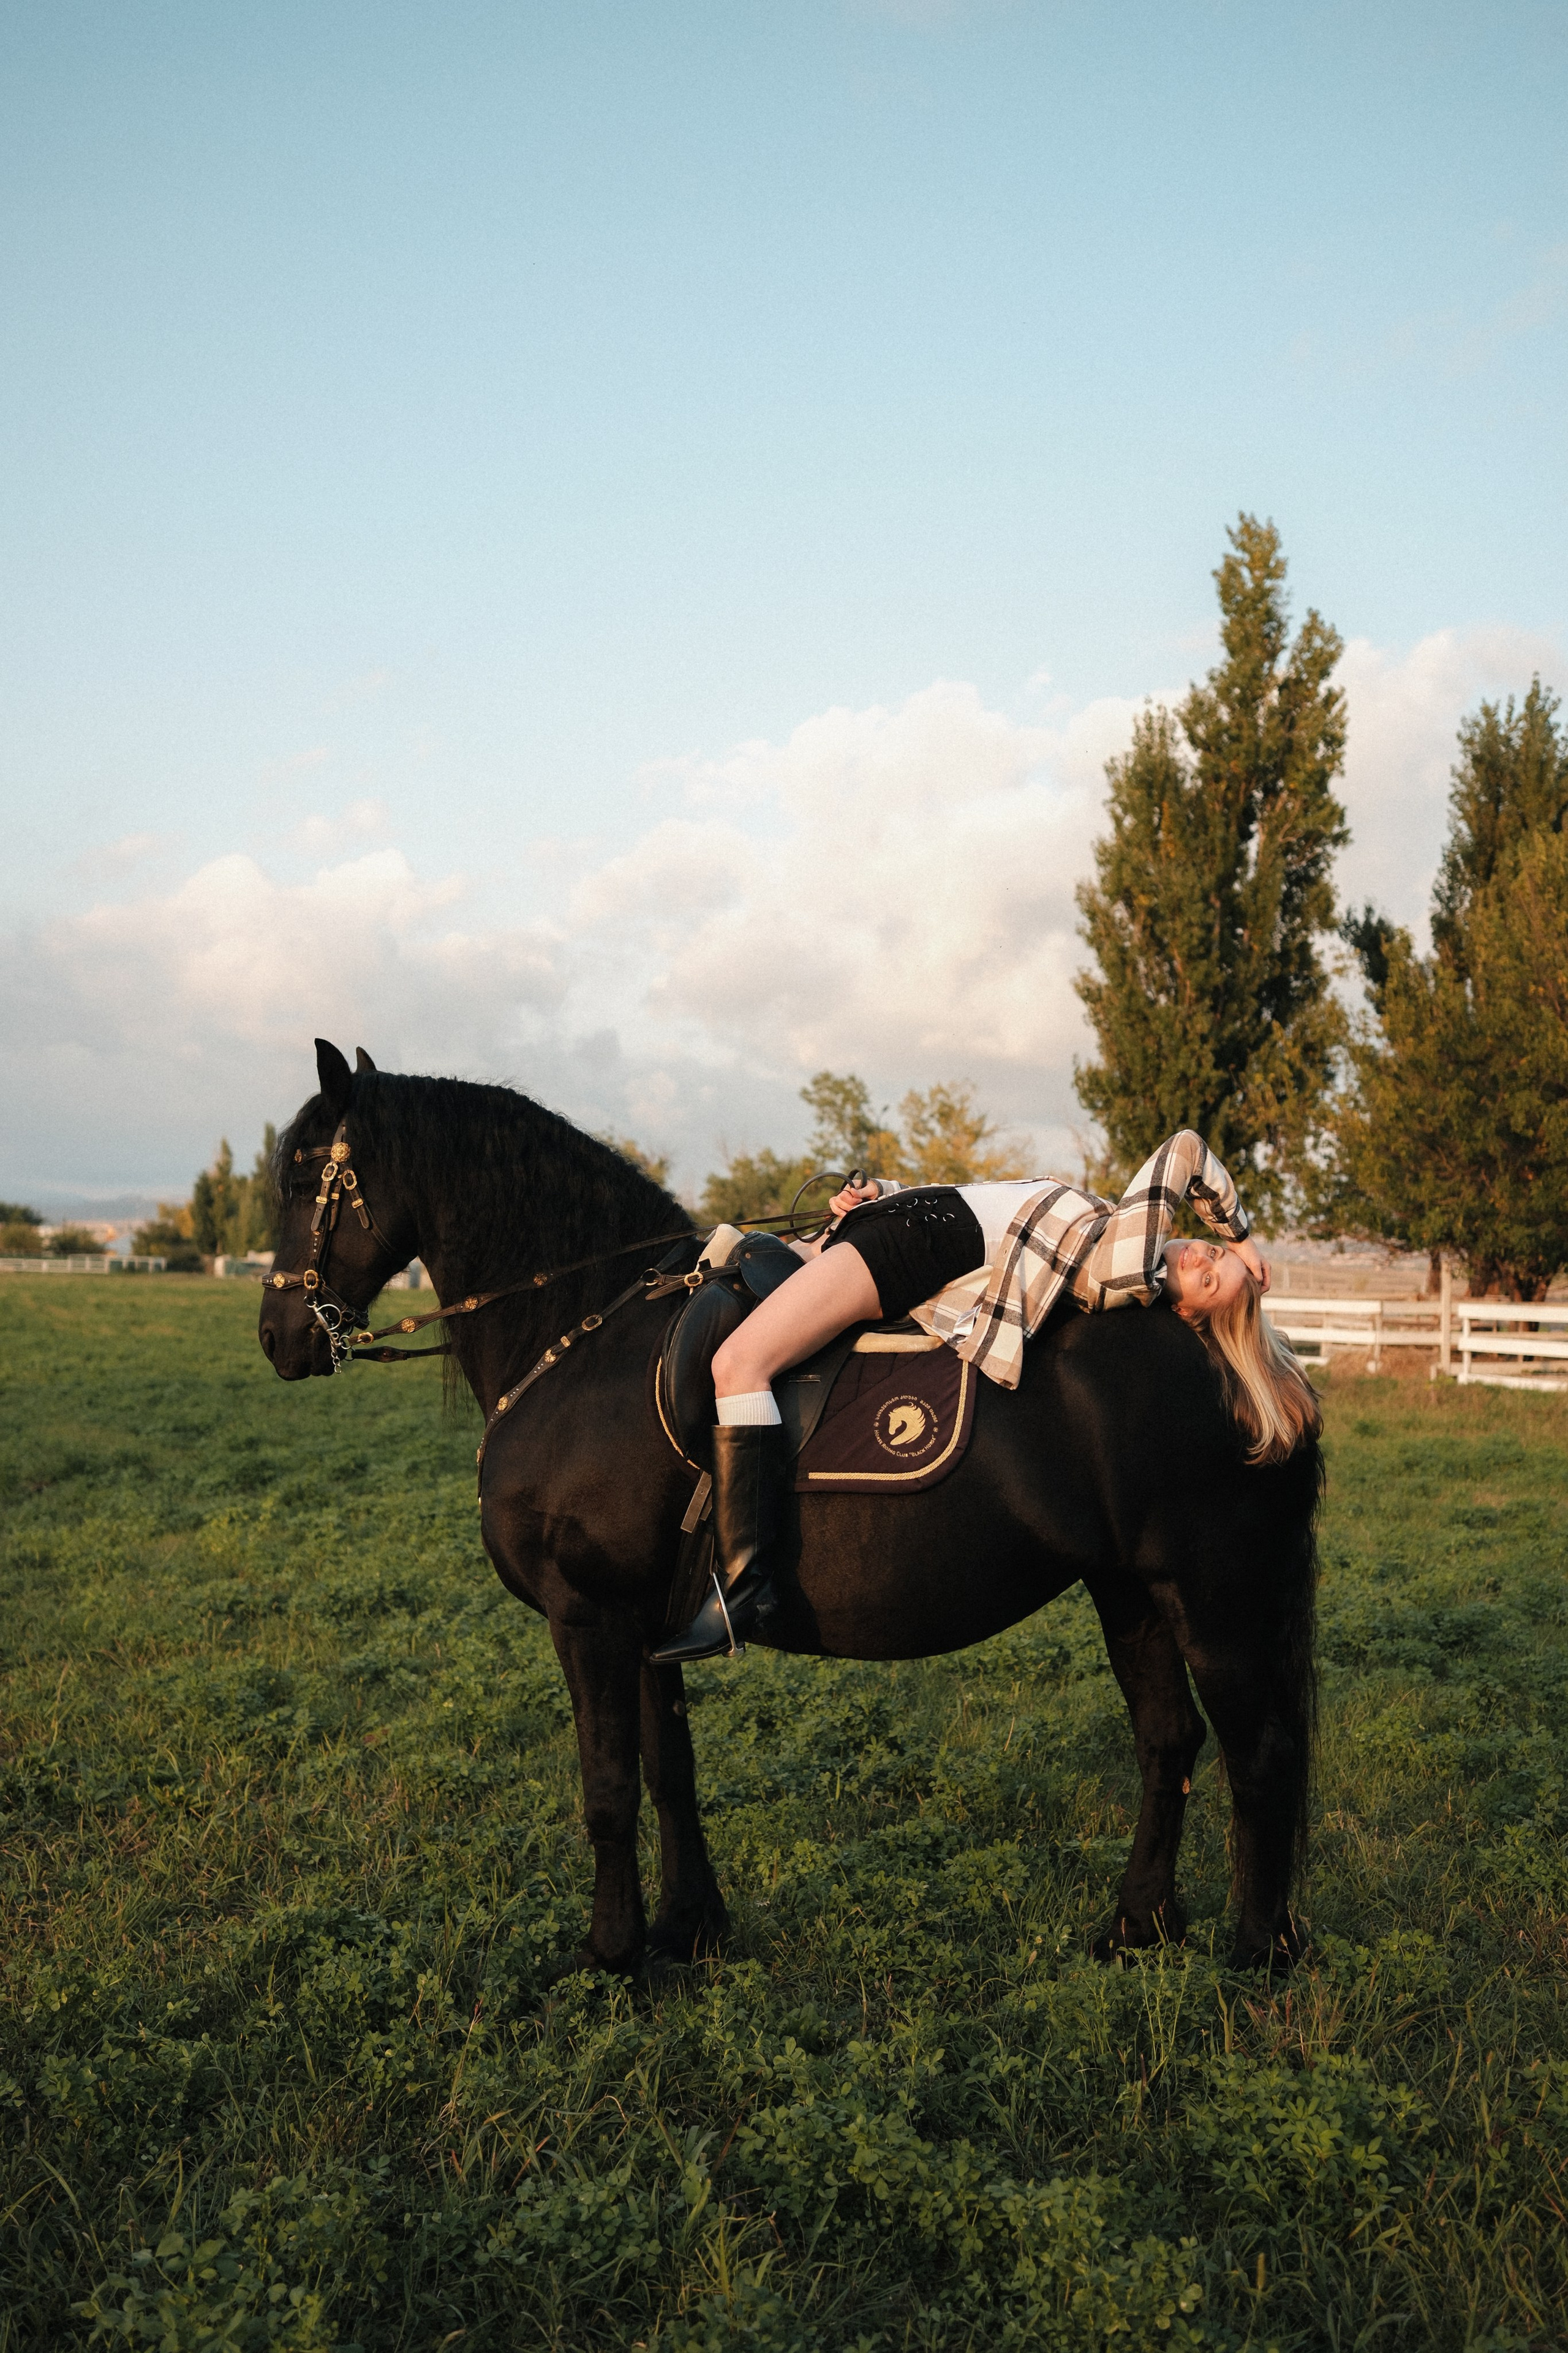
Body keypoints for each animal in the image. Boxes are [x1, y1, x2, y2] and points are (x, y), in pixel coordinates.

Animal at [259, 1041, 1321, 1978]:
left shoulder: (588, 1614)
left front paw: (610, 1958)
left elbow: (608, 1789)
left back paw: (1253, 1956)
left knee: (1260, 1753)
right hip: (1129, 1590)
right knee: (1168, 1740)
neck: (582, 1333)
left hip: (1211, 1595)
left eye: (305, 1173)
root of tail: (1256, 1364)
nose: (278, 1338)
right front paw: (688, 1933)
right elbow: (669, 1773)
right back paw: (1137, 1930)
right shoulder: (645, 1623)